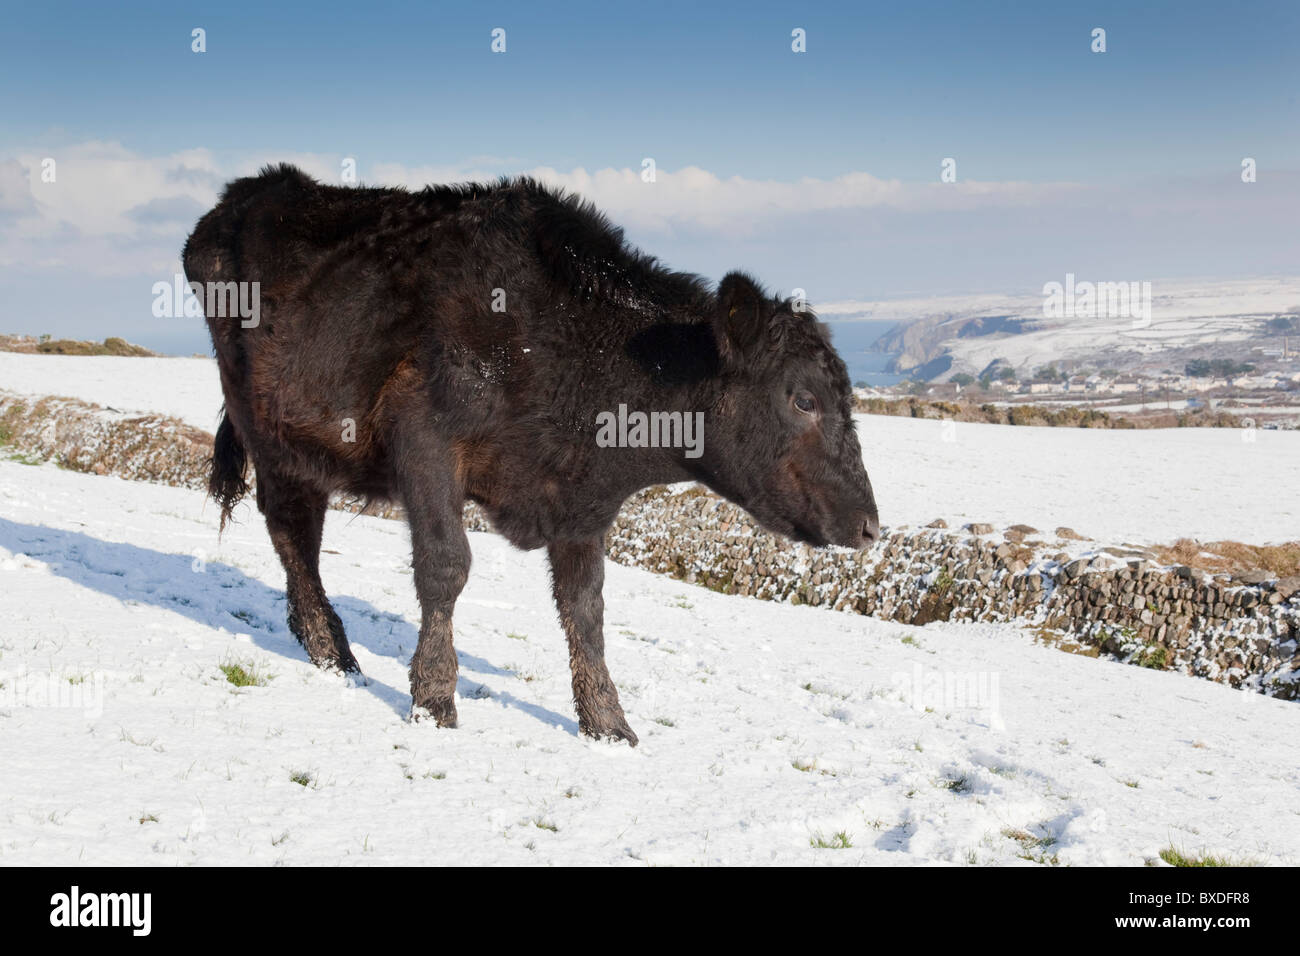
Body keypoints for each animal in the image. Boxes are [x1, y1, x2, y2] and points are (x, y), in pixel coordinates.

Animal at [180, 166, 873, 749]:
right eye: (804, 398)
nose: (870, 526)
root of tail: (252, 190)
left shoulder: (580, 500)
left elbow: (586, 608)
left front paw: (608, 725)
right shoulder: (425, 434)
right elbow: (445, 567)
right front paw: (434, 700)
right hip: (268, 425)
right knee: (292, 526)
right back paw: (332, 653)